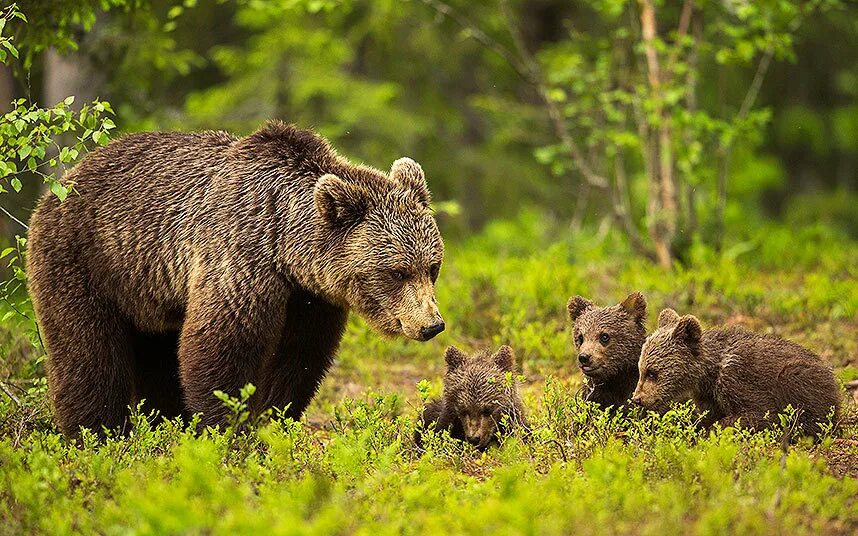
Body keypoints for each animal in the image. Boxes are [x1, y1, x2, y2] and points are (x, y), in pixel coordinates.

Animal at [25, 120, 442, 436]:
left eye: (432, 267)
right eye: (397, 271)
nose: (432, 325)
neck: (287, 246)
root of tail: (61, 183)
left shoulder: (311, 299)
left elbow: (298, 358)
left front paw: (272, 420)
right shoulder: (240, 255)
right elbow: (222, 345)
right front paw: (227, 427)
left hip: (149, 294)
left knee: (157, 357)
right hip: (84, 262)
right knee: (87, 352)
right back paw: (97, 433)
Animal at [632, 310, 840, 436]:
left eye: (652, 373)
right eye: (640, 369)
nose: (637, 399)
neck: (709, 372)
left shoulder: (738, 380)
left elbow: (761, 413)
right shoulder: (708, 395)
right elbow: (706, 415)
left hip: (796, 377)